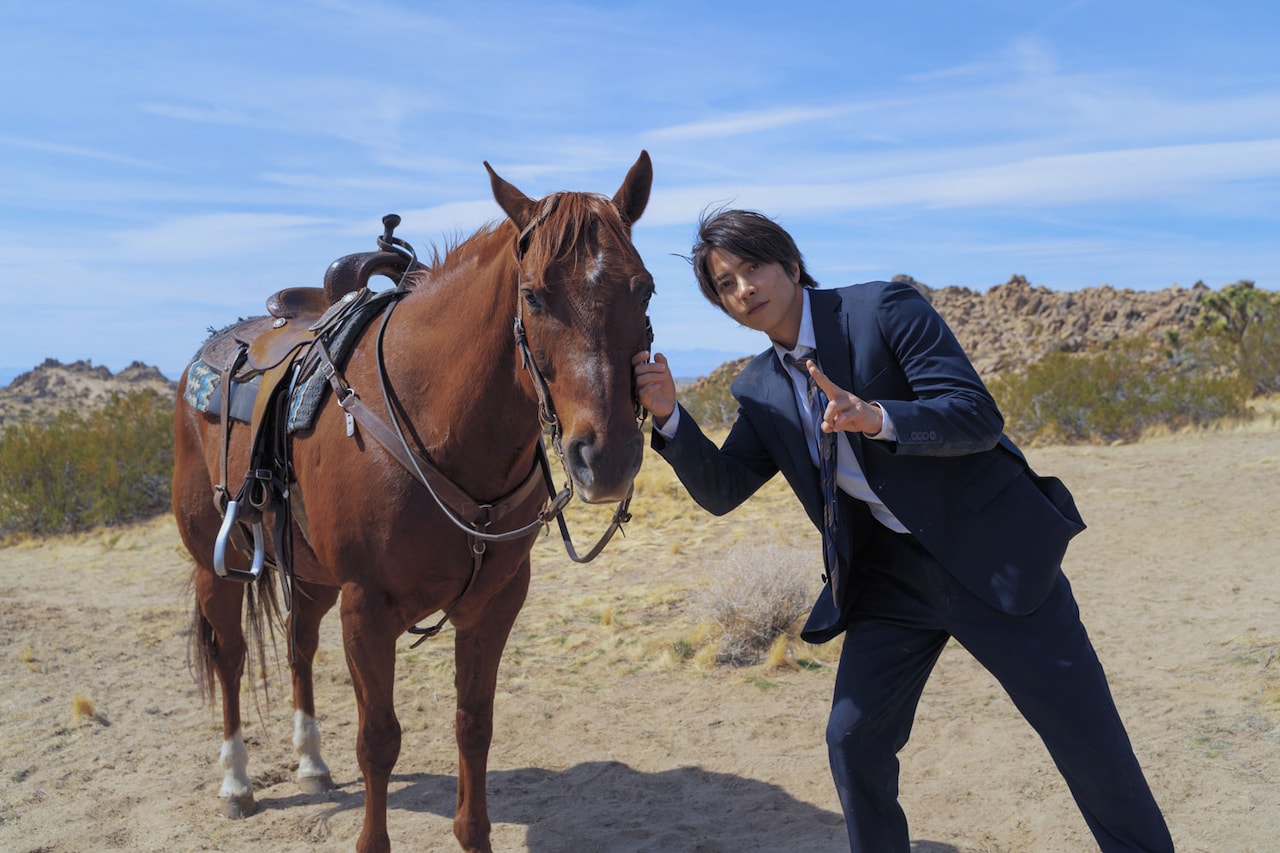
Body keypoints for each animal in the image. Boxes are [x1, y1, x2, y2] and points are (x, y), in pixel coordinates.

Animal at [171, 151, 655, 853]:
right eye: (534, 295)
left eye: (644, 289)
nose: (608, 458)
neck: (437, 419)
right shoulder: (367, 609)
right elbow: (379, 740)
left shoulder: (494, 604)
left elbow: (473, 725)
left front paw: (474, 835)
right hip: (220, 562)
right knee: (230, 656)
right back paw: (236, 782)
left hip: (311, 575)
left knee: (298, 645)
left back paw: (312, 764)